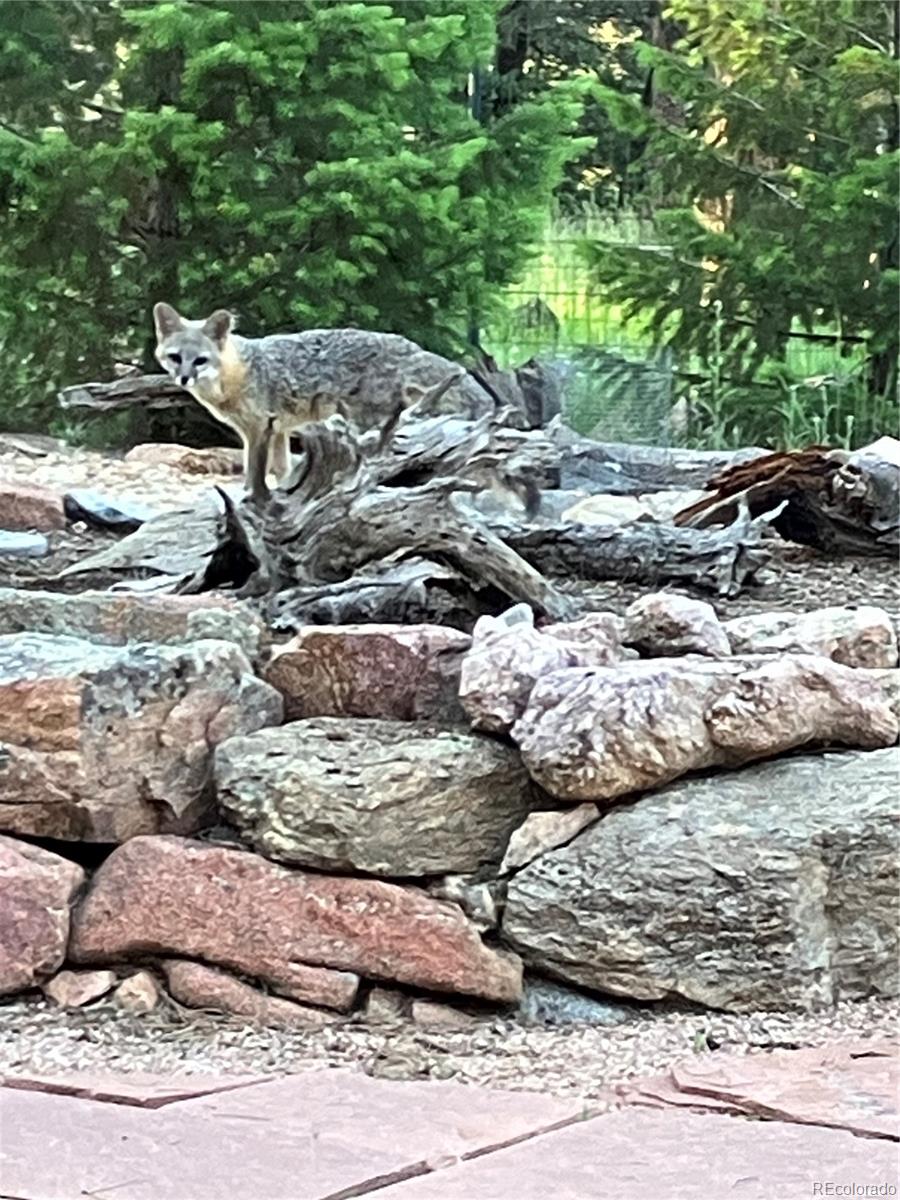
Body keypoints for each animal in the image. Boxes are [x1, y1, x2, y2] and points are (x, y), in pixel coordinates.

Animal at [151, 309, 496, 501]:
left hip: (362, 416)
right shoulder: (277, 429)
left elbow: (255, 471)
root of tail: (406, 344)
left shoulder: (259, 429)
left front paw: (254, 497)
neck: (239, 372)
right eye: (175, 358)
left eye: (200, 360)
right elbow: (280, 469)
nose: (184, 379)